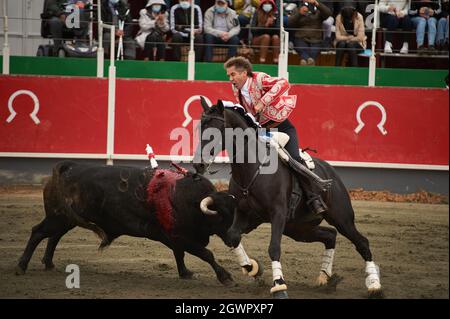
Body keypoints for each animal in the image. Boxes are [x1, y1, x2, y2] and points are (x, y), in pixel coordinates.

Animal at [15, 161, 237, 286]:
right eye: (221, 216)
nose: (235, 240)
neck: (189, 199)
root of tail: (67, 167)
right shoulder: (180, 237)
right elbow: (205, 254)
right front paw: (225, 277)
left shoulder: (174, 238)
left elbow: (179, 254)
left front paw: (185, 273)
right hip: (58, 217)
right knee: (38, 232)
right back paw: (21, 266)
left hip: (65, 219)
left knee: (53, 236)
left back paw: (49, 263)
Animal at [194, 99, 384, 300]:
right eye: (200, 128)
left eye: (215, 130)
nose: (198, 164)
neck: (253, 168)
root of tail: (331, 172)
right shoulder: (246, 214)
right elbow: (232, 236)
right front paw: (253, 268)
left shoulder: (277, 213)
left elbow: (274, 248)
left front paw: (279, 286)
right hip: (298, 228)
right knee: (330, 235)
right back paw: (325, 278)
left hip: (341, 218)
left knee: (362, 242)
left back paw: (374, 285)